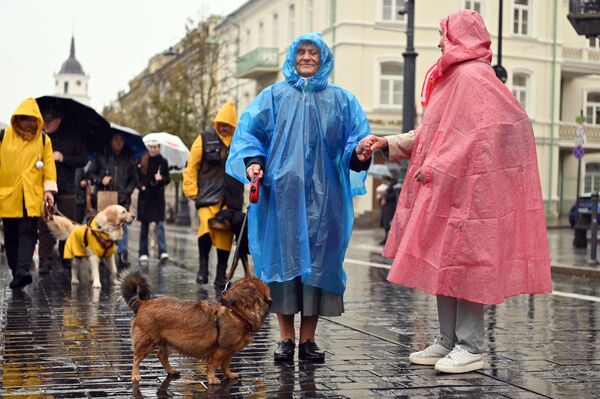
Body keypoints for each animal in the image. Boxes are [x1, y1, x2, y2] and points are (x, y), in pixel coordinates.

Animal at [117, 268, 272, 384]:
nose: (271, 301)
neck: (236, 313)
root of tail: (143, 303)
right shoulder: (221, 350)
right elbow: (214, 365)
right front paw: (212, 378)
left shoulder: (229, 351)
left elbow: (226, 365)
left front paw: (229, 374)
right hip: (148, 342)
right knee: (136, 358)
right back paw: (135, 375)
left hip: (167, 341)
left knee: (161, 355)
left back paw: (170, 370)